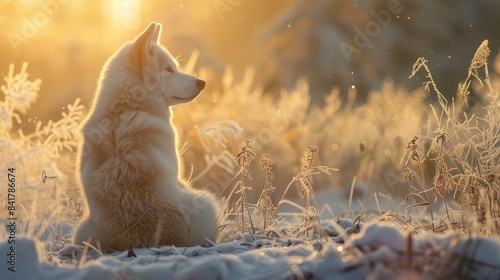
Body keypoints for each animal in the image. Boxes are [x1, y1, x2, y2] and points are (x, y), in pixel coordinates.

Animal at [74, 23, 221, 250]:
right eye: (169, 69)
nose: (202, 82)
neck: (126, 108)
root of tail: (141, 238)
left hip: (81, 230)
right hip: (207, 201)